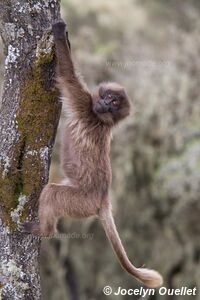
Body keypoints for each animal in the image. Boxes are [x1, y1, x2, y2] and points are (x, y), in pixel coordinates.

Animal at [22, 19, 162, 288]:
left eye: (114, 103)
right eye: (108, 97)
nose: (106, 103)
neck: (103, 121)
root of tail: (103, 199)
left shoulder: (83, 103)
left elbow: (67, 73)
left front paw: (59, 31)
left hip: (79, 202)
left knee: (53, 193)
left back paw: (44, 230)